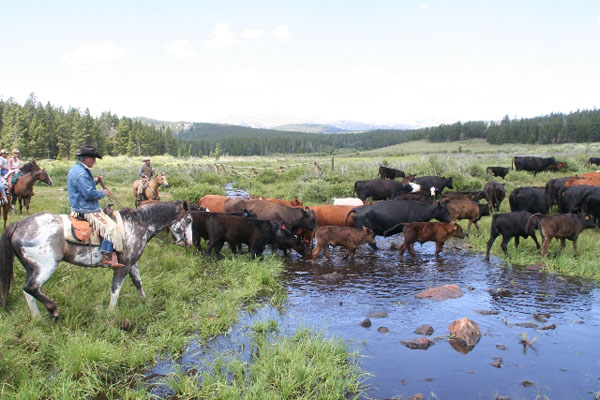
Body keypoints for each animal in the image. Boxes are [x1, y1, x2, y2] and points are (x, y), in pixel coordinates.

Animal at [0, 202, 192, 320]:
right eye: (188, 220)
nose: (189, 243)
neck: (137, 225)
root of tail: (18, 225)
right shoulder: (122, 267)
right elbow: (115, 290)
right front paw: (111, 313)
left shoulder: (132, 264)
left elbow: (138, 283)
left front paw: (146, 303)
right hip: (46, 266)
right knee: (30, 288)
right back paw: (53, 310)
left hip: (32, 268)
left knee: (28, 292)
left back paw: (37, 317)